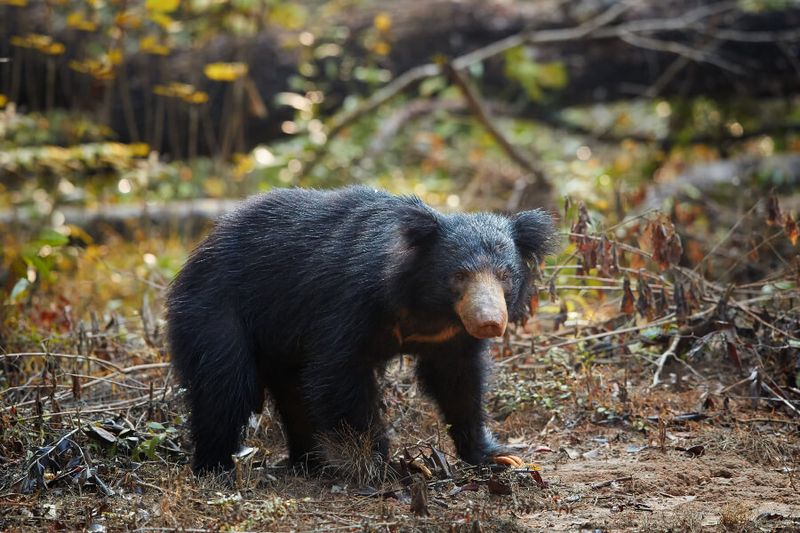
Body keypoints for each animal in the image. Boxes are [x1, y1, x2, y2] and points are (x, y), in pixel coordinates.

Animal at [167, 187, 556, 474]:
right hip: (216, 312)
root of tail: (198, 252)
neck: (427, 309)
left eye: (505, 276)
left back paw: (311, 462)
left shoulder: (450, 337)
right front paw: (386, 463)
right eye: (459, 276)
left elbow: (459, 383)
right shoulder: (349, 303)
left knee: (293, 393)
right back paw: (215, 467)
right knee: (225, 385)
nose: (489, 322)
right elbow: (339, 374)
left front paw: (499, 455)